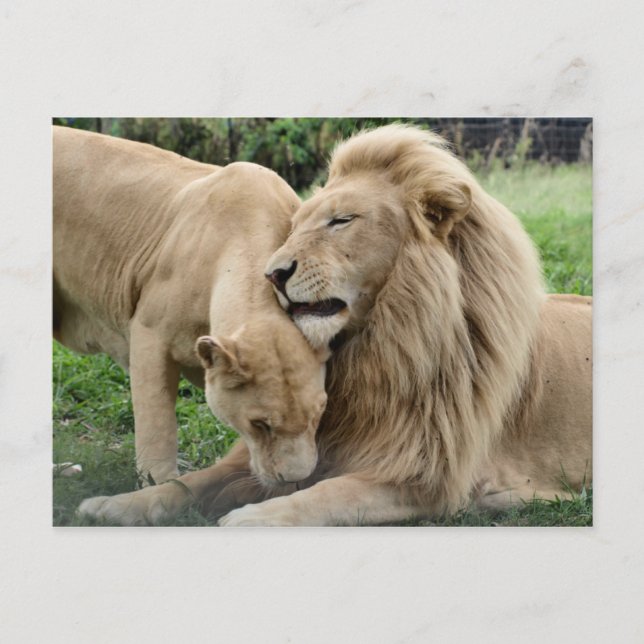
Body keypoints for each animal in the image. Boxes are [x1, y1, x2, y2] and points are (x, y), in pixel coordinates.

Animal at [54, 126, 328, 524]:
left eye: (318, 415)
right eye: (260, 424)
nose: (294, 480)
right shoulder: (149, 336)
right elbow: (157, 431)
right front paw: (155, 488)